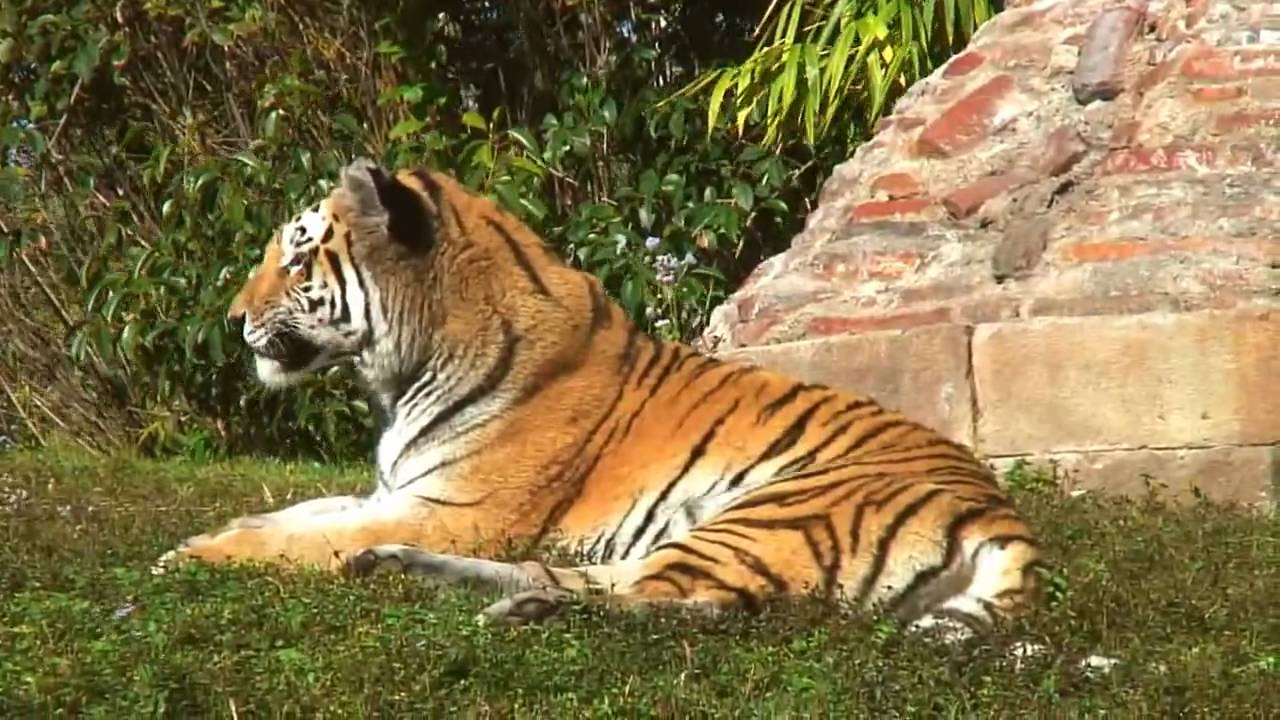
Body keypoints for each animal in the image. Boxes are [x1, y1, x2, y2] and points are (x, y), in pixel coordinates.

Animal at [155, 158, 1043, 632]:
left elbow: (302, 540)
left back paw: (520, 612)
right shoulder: (399, 492)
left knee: (687, 604)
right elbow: (301, 515)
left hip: (774, 512)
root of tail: (1003, 515)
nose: (230, 320)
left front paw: (186, 558)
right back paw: (412, 572)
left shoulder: (457, 508)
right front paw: (217, 532)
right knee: (588, 577)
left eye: (298, 258)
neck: (399, 375)